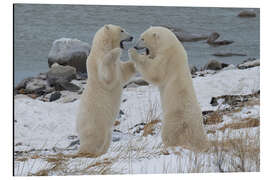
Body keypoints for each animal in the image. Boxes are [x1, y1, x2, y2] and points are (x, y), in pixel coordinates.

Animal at [76, 24, 135, 157]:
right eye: (122, 30)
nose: (131, 37)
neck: (102, 47)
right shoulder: (98, 62)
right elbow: (107, 75)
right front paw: (116, 51)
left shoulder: (119, 67)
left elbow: (124, 72)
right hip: (95, 122)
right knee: (95, 138)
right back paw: (89, 151)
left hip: (106, 130)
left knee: (107, 138)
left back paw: (102, 152)